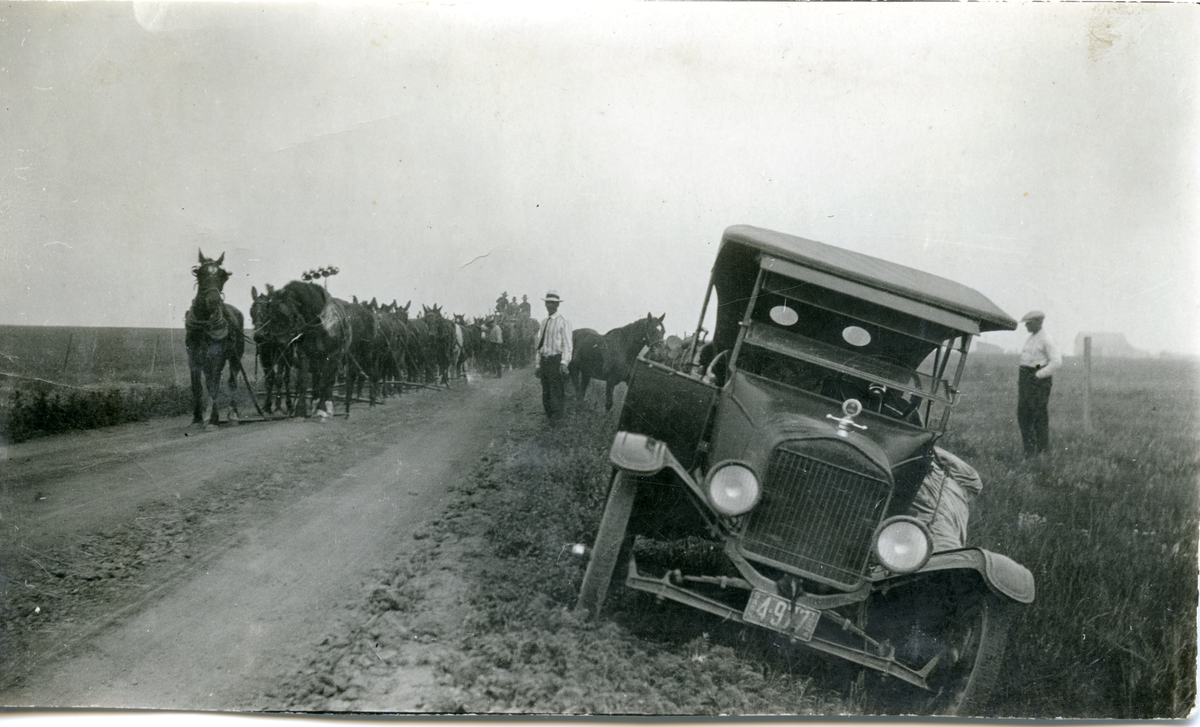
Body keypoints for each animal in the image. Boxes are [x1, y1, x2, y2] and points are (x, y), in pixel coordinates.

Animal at [183, 250, 244, 427]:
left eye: (223, 276)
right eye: (200, 273)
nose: (213, 300)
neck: (204, 324)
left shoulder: (217, 356)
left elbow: (215, 385)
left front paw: (212, 419)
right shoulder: (193, 358)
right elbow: (197, 386)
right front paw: (197, 417)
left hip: (235, 357)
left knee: (232, 381)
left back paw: (233, 414)